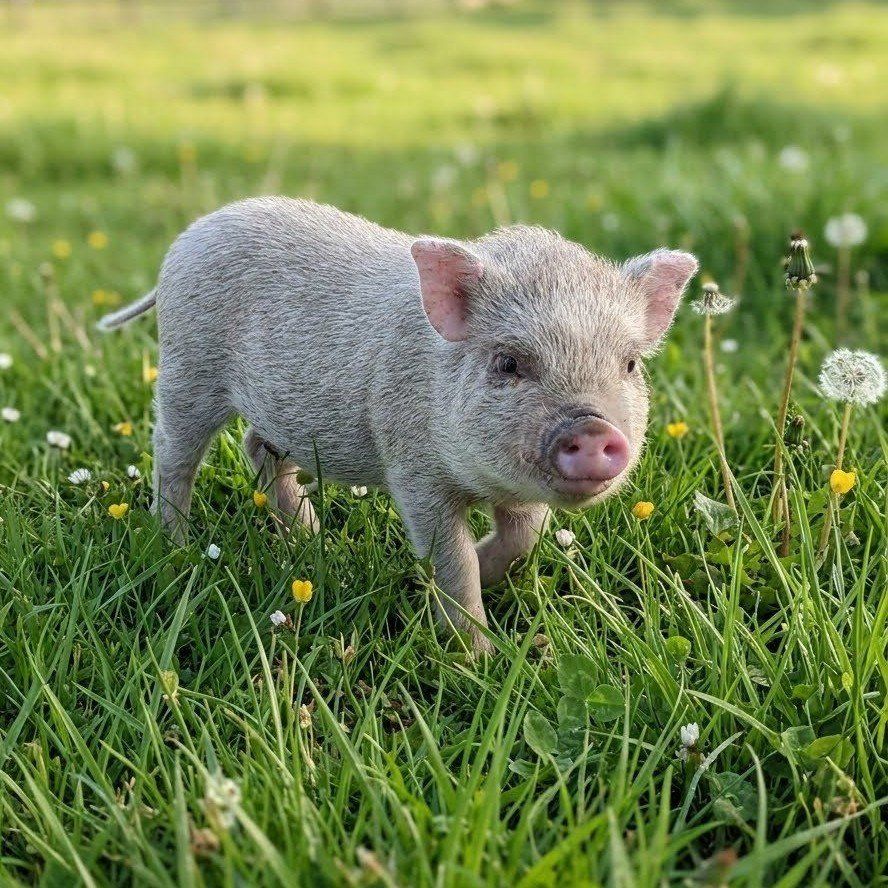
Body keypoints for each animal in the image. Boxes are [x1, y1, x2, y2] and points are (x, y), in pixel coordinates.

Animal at [99, 197, 697, 653]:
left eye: (629, 365)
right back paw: (176, 546)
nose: (594, 429)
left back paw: (311, 541)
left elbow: (523, 538)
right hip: (187, 365)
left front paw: (453, 582)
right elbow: (452, 559)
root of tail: (195, 231)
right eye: (508, 363)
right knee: (173, 453)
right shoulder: (412, 466)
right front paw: (478, 654)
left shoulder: (516, 491)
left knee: (257, 447)